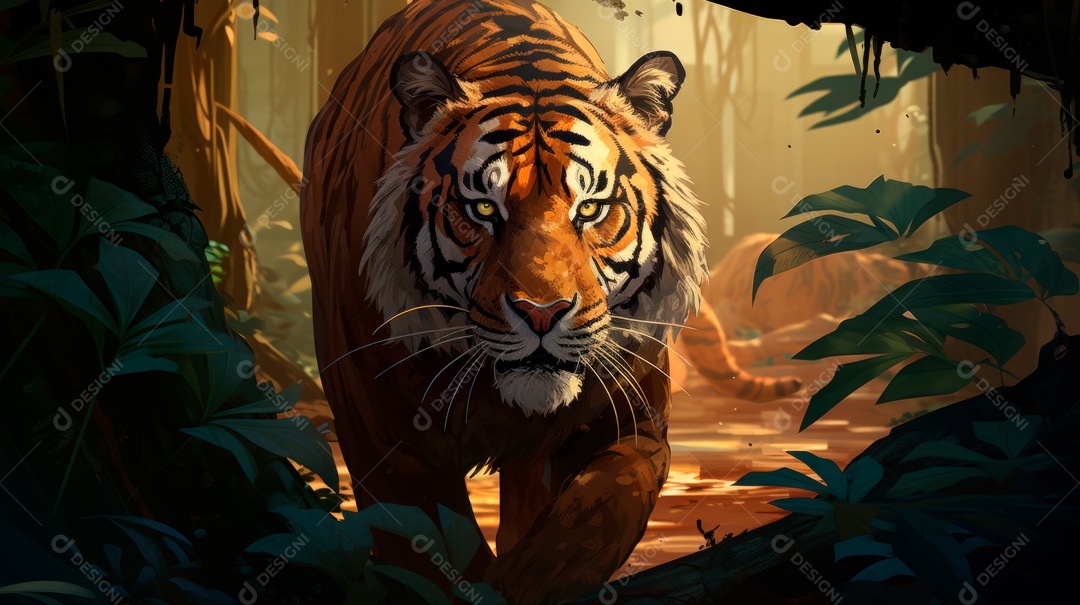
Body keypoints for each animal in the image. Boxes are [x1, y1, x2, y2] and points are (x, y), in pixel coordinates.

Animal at [300, 1, 775, 602]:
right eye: (483, 209)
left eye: (591, 209)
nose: (542, 315)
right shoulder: (388, 444)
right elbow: (434, 558)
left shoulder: (636, 429)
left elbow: (585, 524)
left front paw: (520, 580)